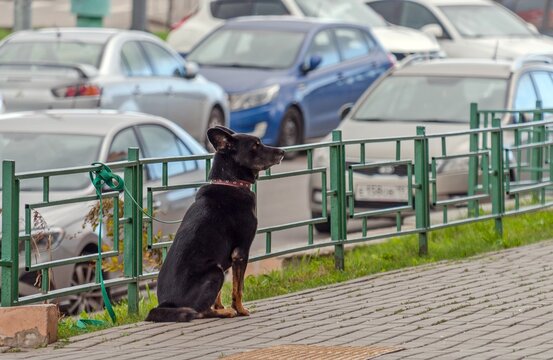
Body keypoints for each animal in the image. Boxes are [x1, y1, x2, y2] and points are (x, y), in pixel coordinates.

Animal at [146, 126, 284, 320]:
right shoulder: (240, 252)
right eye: (256, 145)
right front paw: (240, 309)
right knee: (201, 311)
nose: (282, 152)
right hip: (215, 272)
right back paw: (225, 313)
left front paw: (221, 306)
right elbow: (238, 288)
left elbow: (219, 294)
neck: (230, 183)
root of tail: (166, 305)